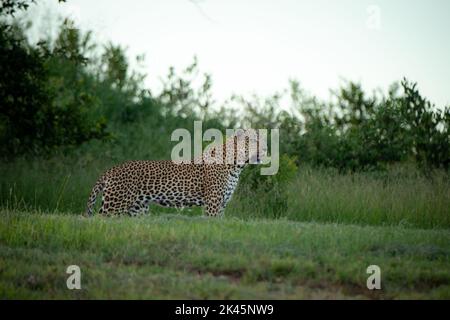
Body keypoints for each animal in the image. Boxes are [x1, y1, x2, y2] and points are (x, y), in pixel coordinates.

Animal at [86, 129, 266, 216]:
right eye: (253, 140)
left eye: (264, 141)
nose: (265, 149)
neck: (236, 166)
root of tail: (111, 170)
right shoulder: (213, 203)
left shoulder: (222, 204)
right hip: (115, 205)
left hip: (137, 209)